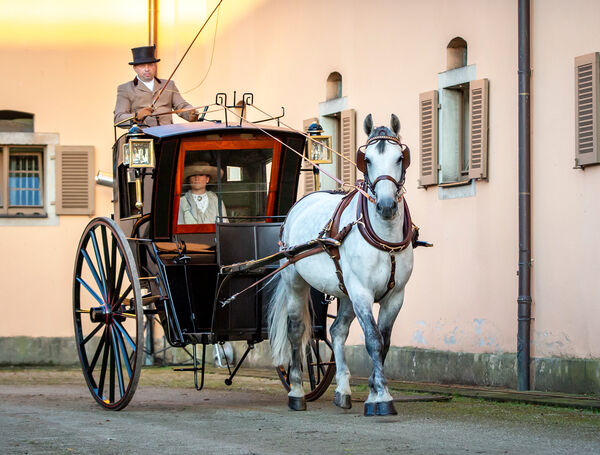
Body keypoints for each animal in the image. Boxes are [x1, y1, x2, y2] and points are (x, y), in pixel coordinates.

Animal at [270, 113, 414, 416]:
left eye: (400, 157)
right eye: (366, 159)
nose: (386, 206)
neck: (384, 238)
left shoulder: (395, 296)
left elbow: (384, 343)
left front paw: (373, 392)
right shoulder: (362, 292)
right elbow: (373, 339)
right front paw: (382, 397)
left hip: (344, 291)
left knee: (336, 331)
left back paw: (342, 391)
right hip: (296, 282)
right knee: (296, 331)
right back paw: (297, 391)